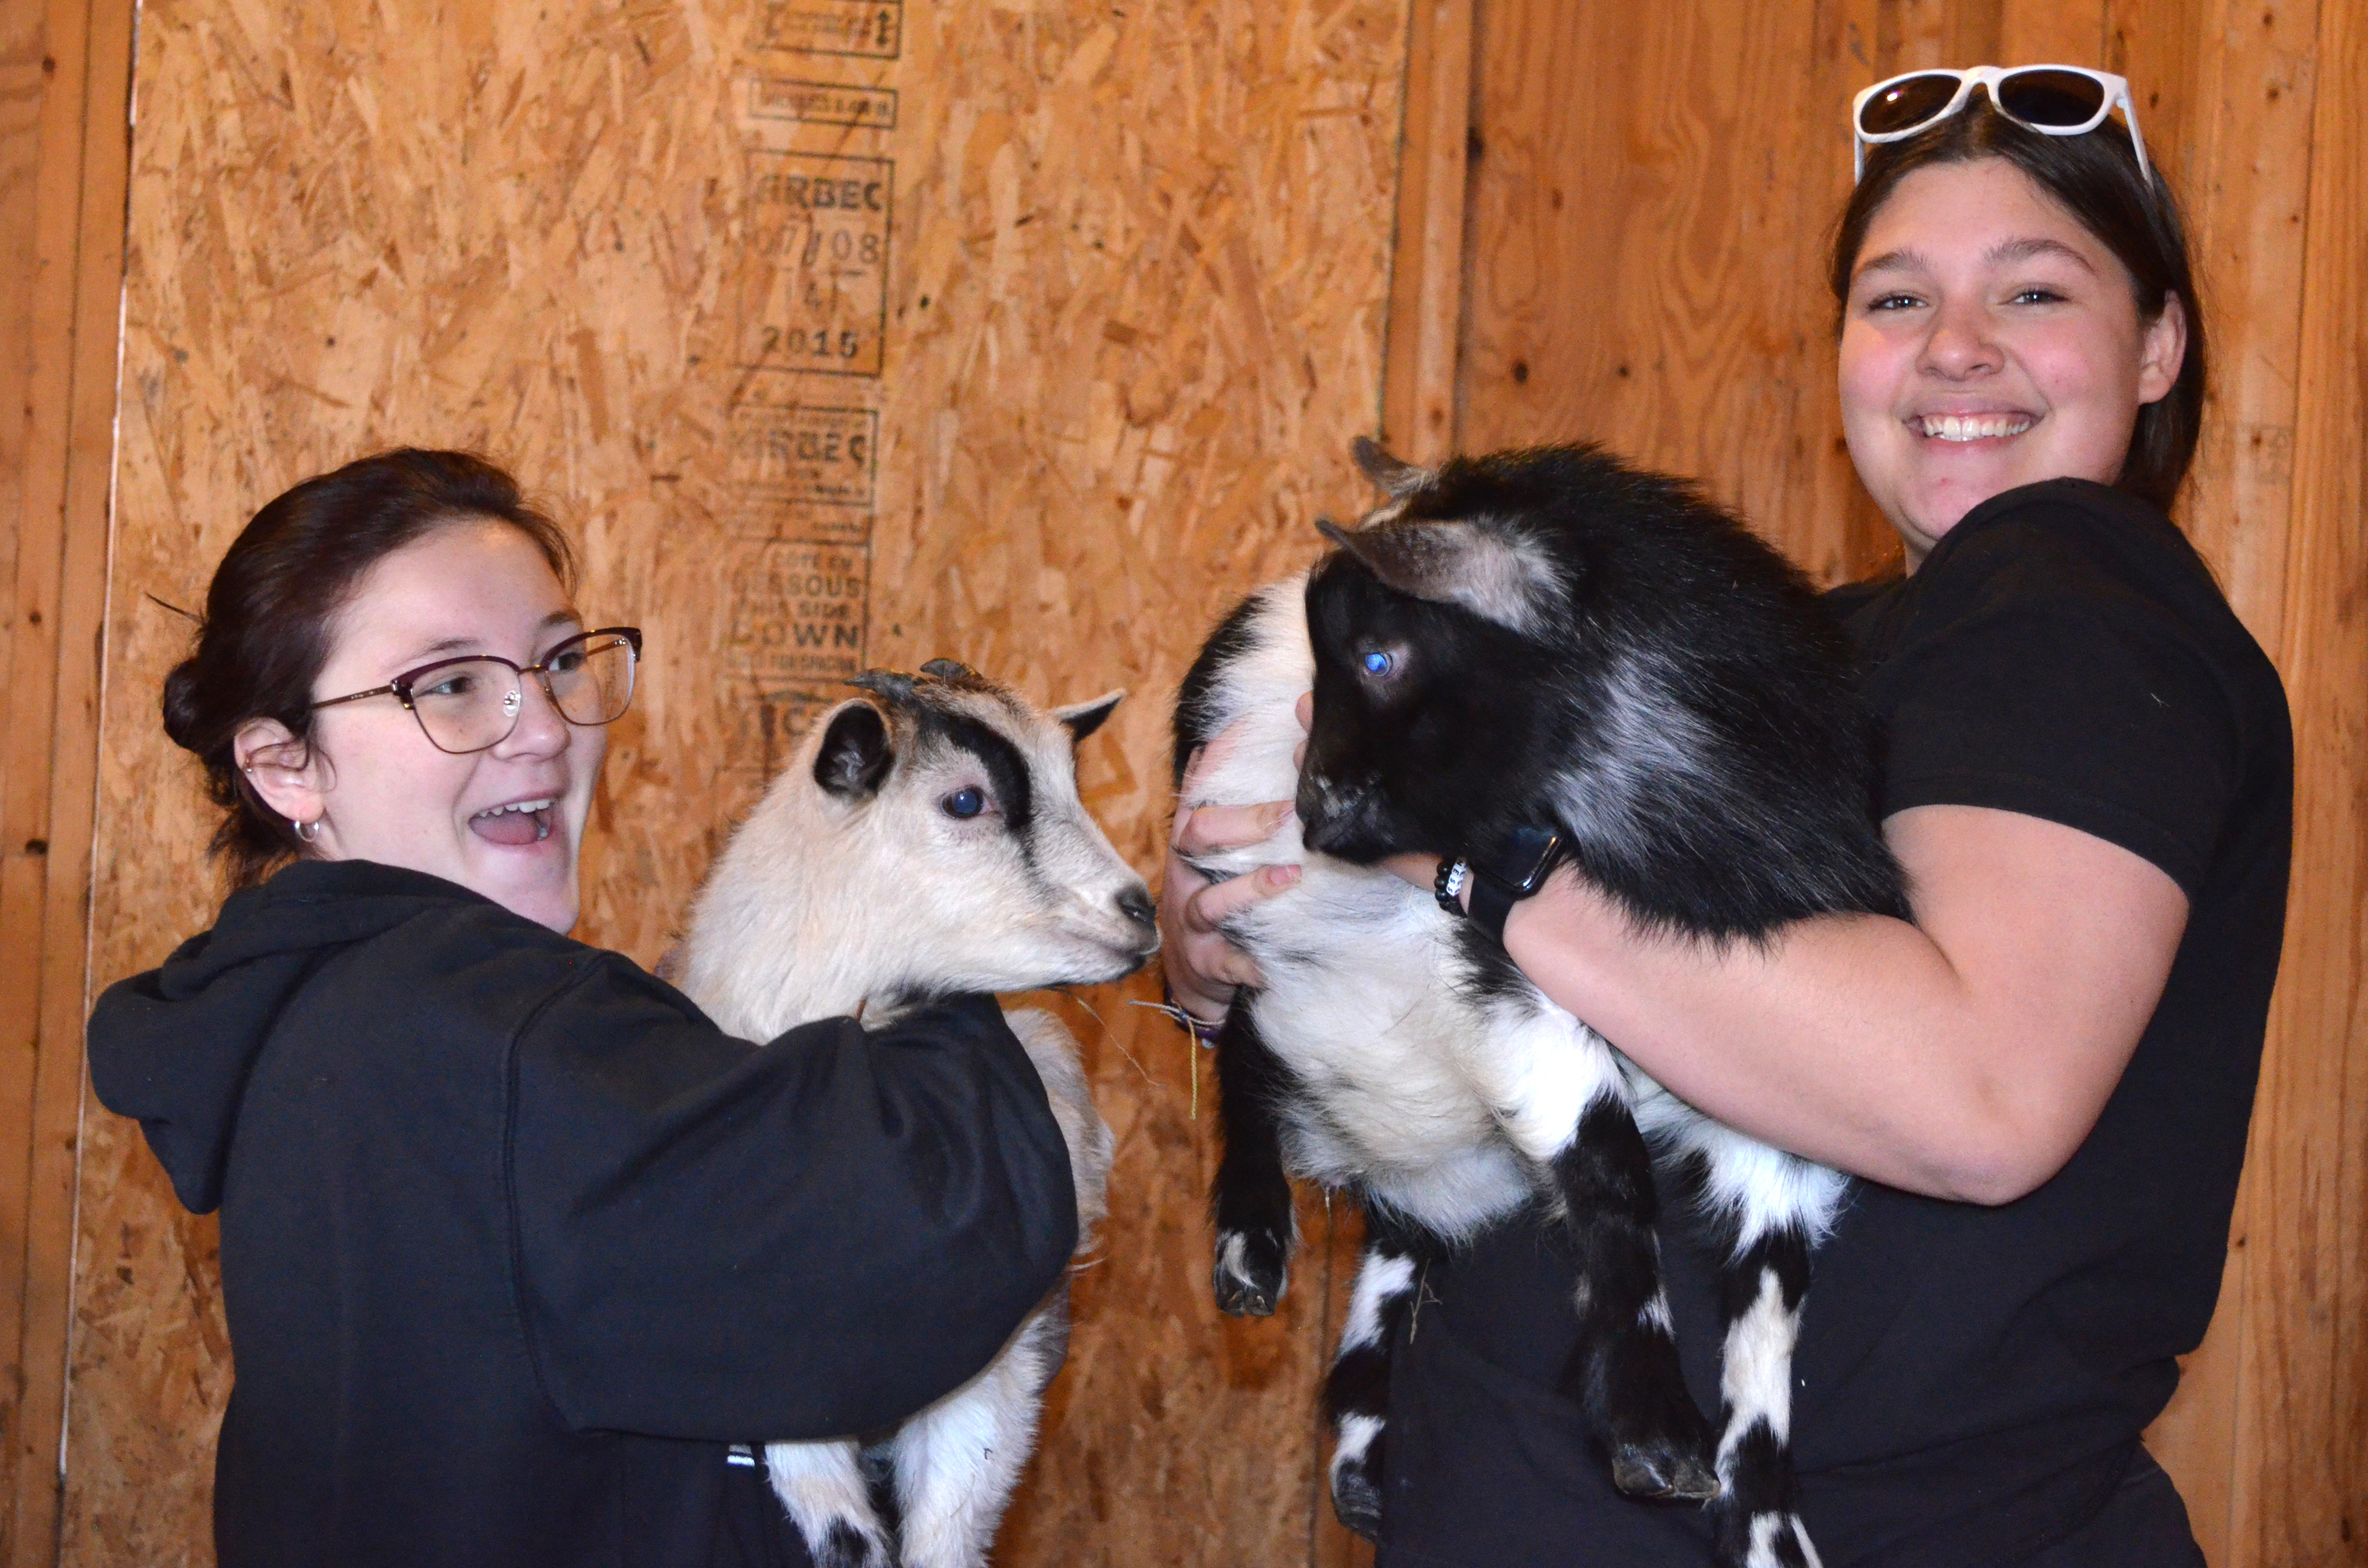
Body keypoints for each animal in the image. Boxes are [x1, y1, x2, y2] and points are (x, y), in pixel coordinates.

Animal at [677, 658, 1156, 1568]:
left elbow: (953, 1511)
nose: (1140, 909)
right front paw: (845, 1530)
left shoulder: (1006, 1353)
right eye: (965, 801)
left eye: (1072, 779)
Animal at [1174, 438, 1913, 1568]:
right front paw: (1652, 1427)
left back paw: (1363, 1457)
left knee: (1398, 1236)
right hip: (1247, 953)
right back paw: (1250, 1246)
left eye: (1379, 658)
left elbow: (1771, 1315)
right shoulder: (1514, 983)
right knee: (1244, 1059)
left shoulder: (1780, 1107)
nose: (1310, 808)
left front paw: (1760, 1524)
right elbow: (1612, 1163)